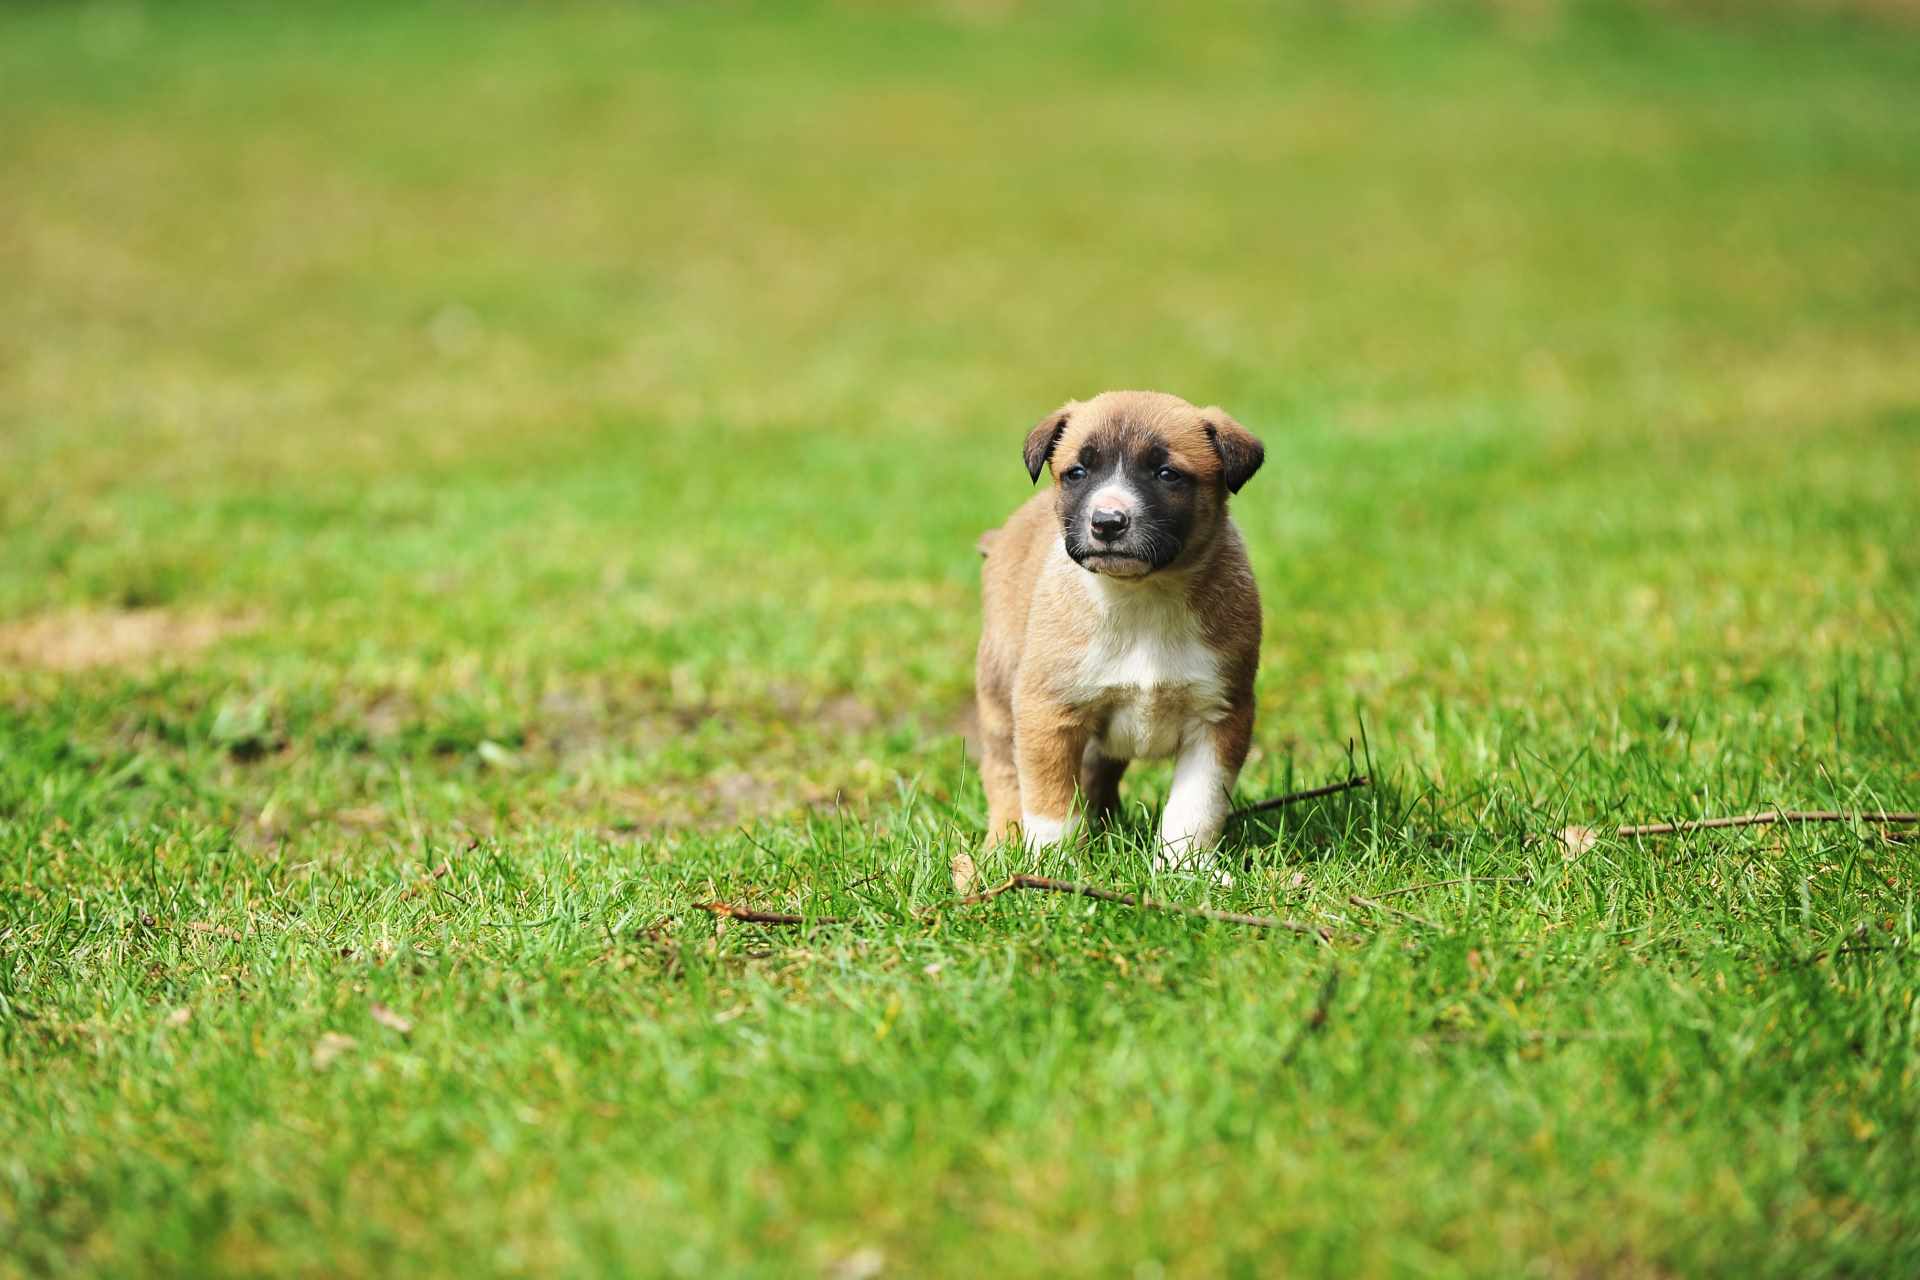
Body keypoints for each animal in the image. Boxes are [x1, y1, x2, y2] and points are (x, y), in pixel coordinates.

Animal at [975, 385, 1259, 875]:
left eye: (1167, 474)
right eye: (1077, 473)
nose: (1107, 522)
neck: (1142, 598)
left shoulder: (1220, 715)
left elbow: (1196, 808)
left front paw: (1184, 870)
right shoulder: (1047, 711)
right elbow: (1050, 803)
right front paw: (1052, 867)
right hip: (998, 697)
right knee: (1004, 776)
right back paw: (1002, 843)